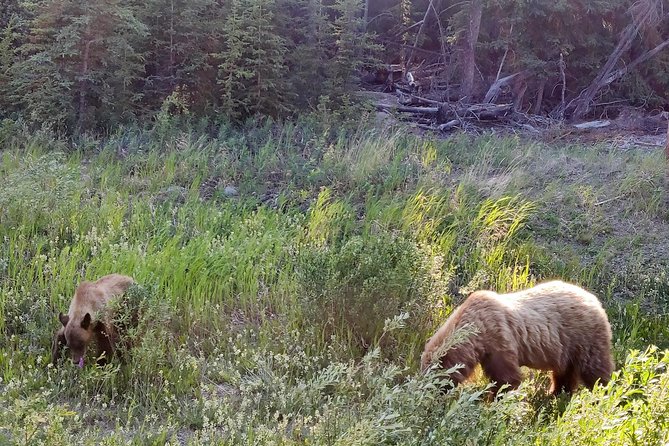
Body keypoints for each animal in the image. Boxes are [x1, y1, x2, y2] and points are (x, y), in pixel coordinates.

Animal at [420, 280, 612, 396]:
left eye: (433, 376)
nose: (428, 393)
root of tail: (594, 300)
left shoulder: (498, 338)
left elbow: (506, 377)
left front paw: (497, 400)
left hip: (584, 336)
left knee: (595, 369)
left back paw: (600, 394)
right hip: (567, 347)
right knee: (565, 371)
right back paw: (556, 392)